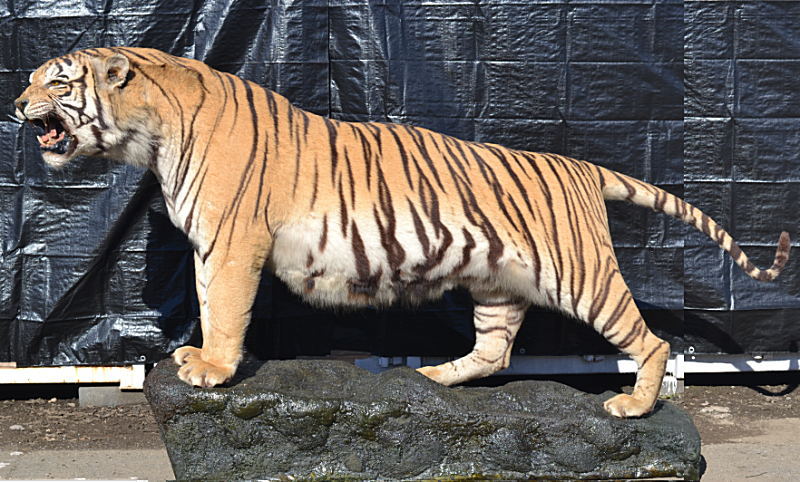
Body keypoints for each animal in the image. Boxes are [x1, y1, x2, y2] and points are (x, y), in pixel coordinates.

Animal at [14, 47, 791, 418]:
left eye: (56, 83)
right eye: (34, 80)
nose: (16, 102)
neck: (152, 136)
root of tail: (581, 168)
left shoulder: (233, 241)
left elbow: (226, 307)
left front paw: (212, 369)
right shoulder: (210, 243)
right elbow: (207, 302)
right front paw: (199, 355)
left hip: (583, 276)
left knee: (649, 341)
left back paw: (633, 404)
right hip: (497, 284)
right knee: (495, 353)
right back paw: (438, 376)